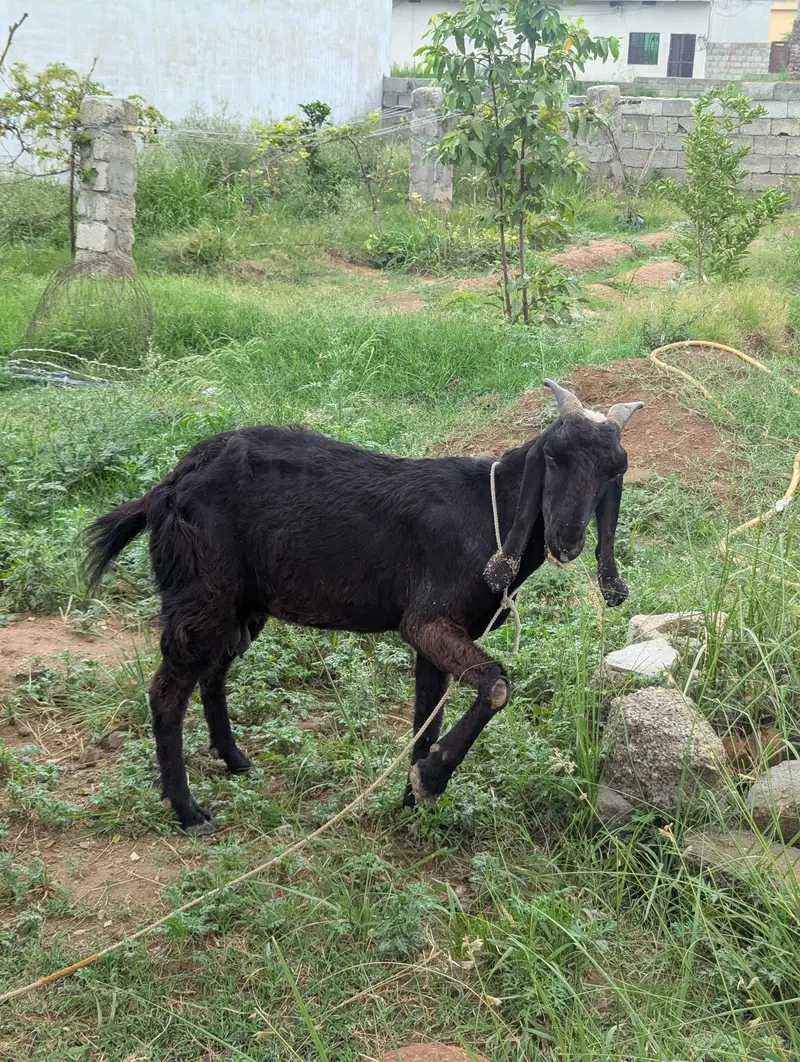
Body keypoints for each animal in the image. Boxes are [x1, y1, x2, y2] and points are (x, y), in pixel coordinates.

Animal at [85, 380, 643, 833]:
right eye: (551, 456)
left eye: (614, 469)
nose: (567, 538)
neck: (492, 514)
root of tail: (169, 485)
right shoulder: (427, 620)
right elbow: (498, 685)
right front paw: (432, 779)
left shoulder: (434, 633)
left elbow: (427, 719)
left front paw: (413, 795)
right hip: (203, 594)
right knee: (167, 692)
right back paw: (187, 810)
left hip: (241, 604)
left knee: (213, 673)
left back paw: (235, 761)